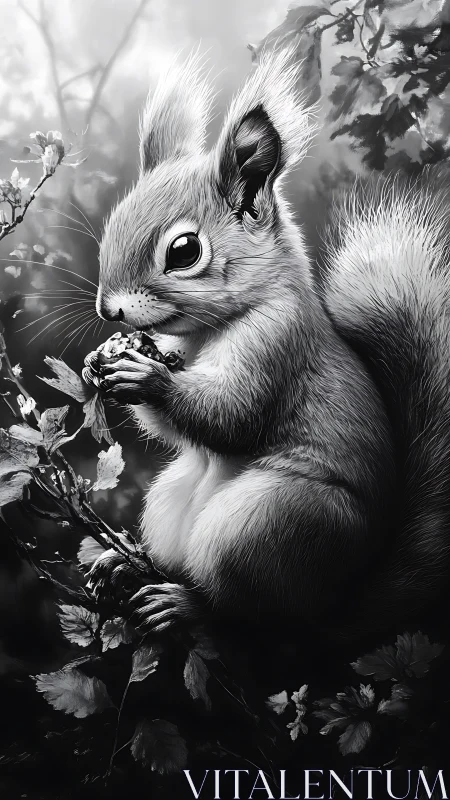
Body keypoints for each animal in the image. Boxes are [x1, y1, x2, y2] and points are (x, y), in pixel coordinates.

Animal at [92, 48, 450, 641]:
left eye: (184, 251)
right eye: (111, 224)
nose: (108, 310)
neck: (209, 331)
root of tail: (342, 604)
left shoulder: (277, 343)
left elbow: (232, 415)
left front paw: (146, 378)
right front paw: (110, 361)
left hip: (268, 524)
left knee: (251, 616)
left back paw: (187, 606)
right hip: (173, 502)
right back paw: (126, 563)